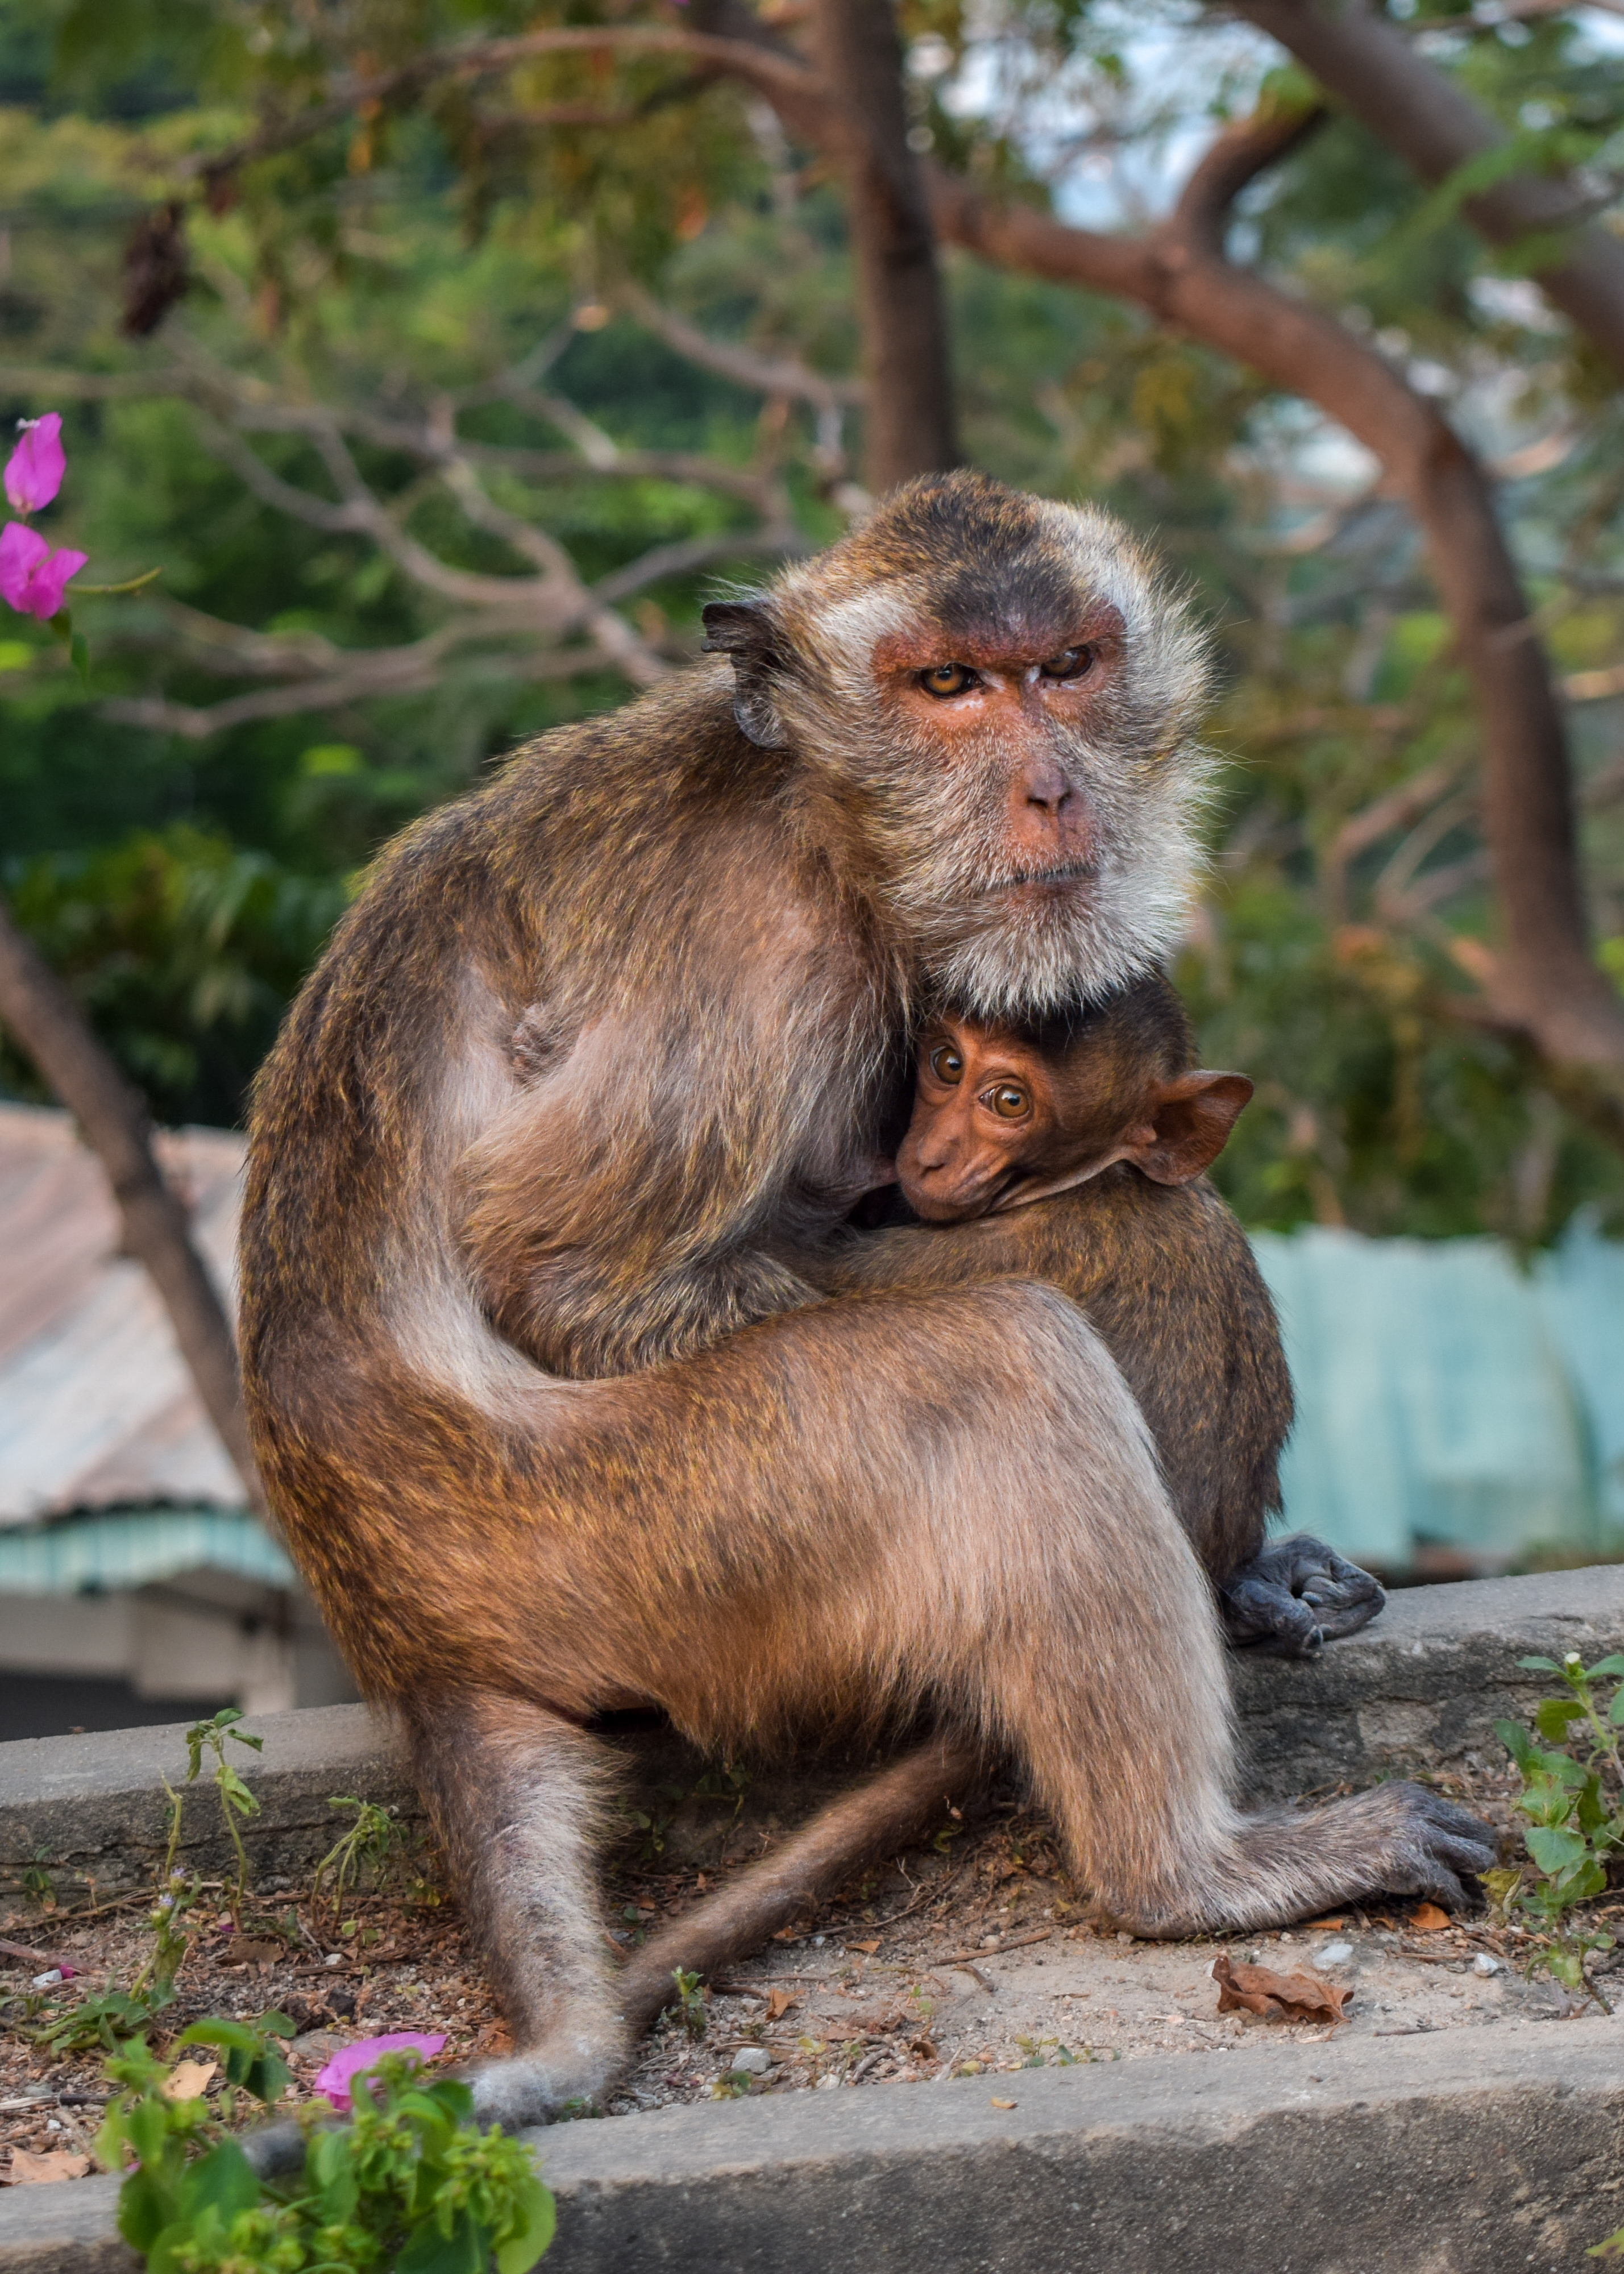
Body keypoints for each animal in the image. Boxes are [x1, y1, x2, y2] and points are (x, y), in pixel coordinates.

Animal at [238, 470, 1494, 2133]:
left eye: (1063, 668)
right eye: (947, 686)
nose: (1050, 790)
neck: (829, 822)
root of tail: (397, 1627)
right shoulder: (752, 955)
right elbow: (563, 1273)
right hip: (638, 1538)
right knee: (1011, 1358)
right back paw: (1186, 1875)